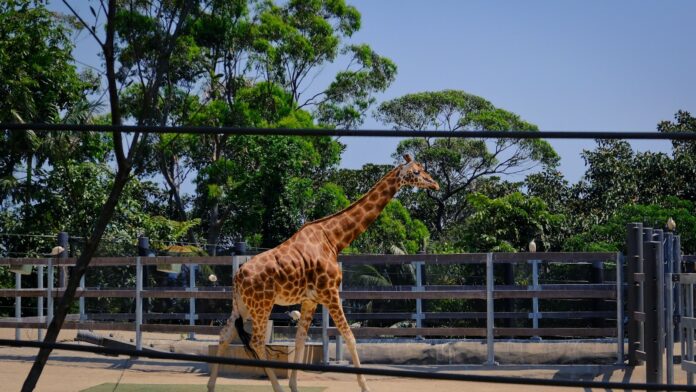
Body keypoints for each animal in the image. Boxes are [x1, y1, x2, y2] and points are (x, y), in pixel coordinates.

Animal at [204, 155, 440, 392]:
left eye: (422, 169)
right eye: (416, 172)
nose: (434, 184)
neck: (333, 239)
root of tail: (237, 276)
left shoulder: (310, 300)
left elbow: (300, 340)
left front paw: (294, 386)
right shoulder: (330, 293)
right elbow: (349, 336)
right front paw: (365, 386)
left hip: (241, 305)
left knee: (224, 336)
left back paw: (211, 386)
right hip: (262, 304)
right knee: (256, 342)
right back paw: (276, 387)